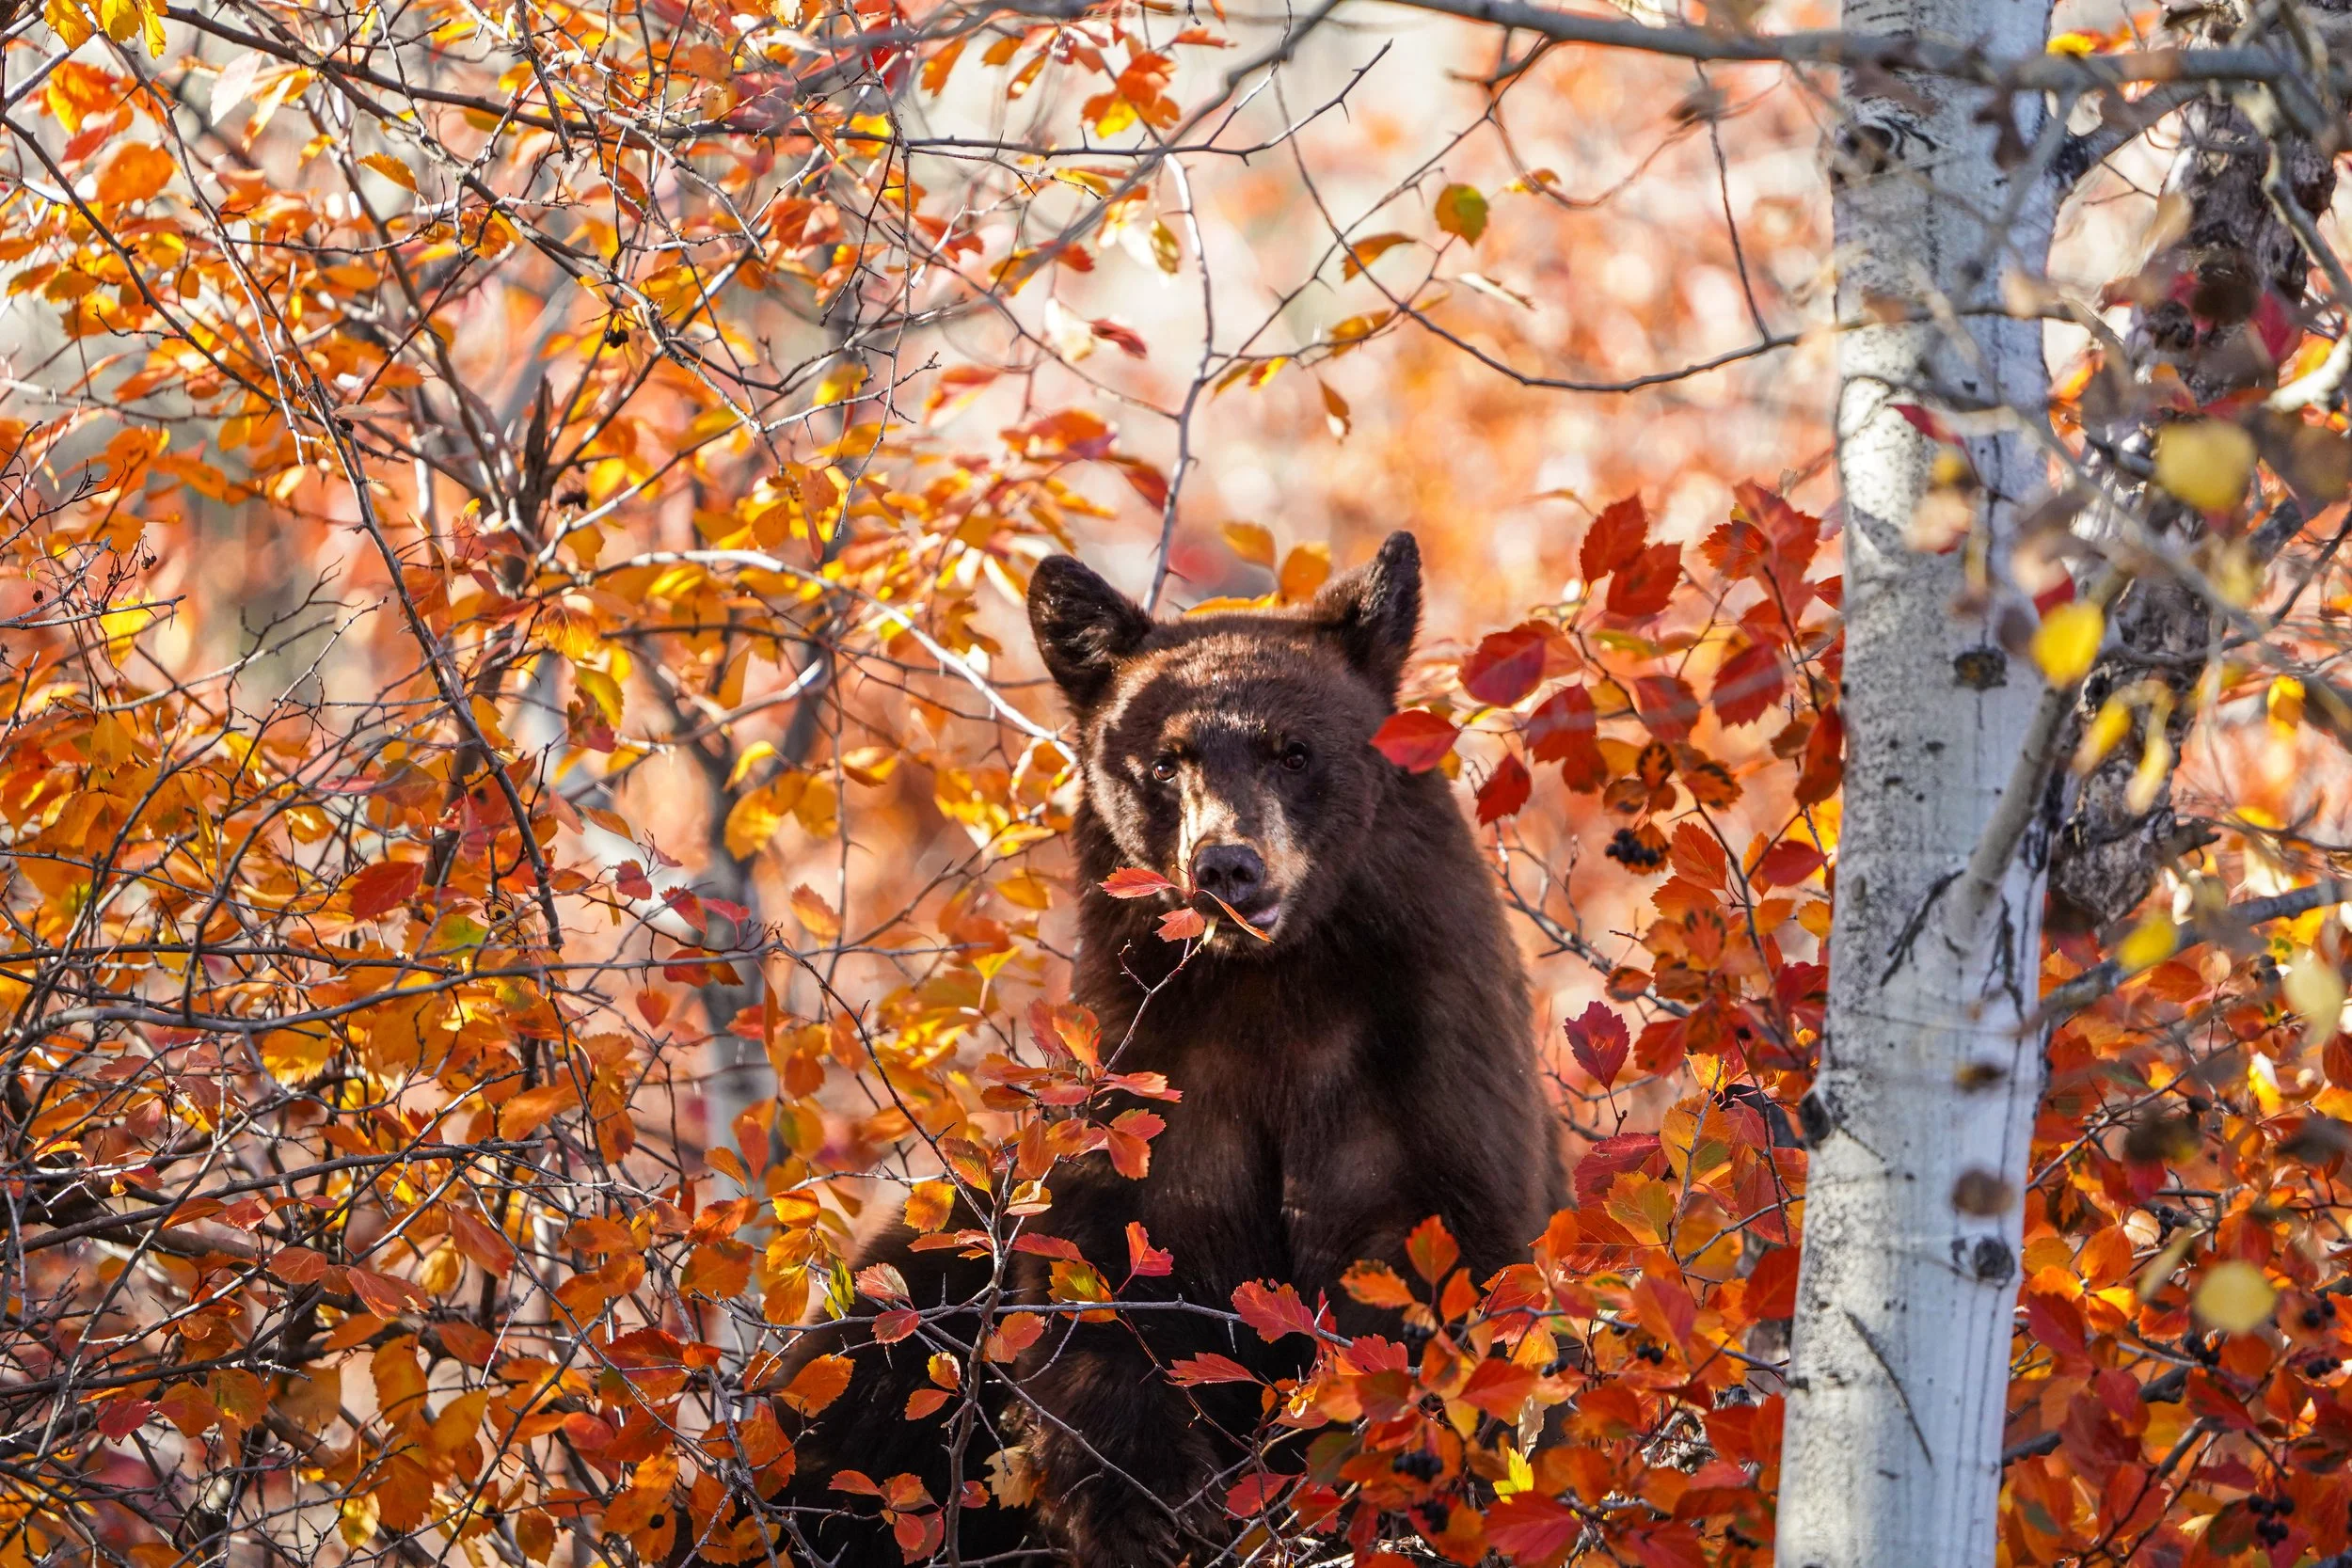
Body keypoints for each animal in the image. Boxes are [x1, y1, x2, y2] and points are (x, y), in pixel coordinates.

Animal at [779, 531, 1563, 1568]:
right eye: (1163, 761)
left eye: (1295, 750)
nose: (1226, 864)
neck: (1270, 993)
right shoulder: (1148, 1080)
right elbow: (1108, 1283)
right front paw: (1151, 1512)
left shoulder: (1424, 1067)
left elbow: (1434, 1268)